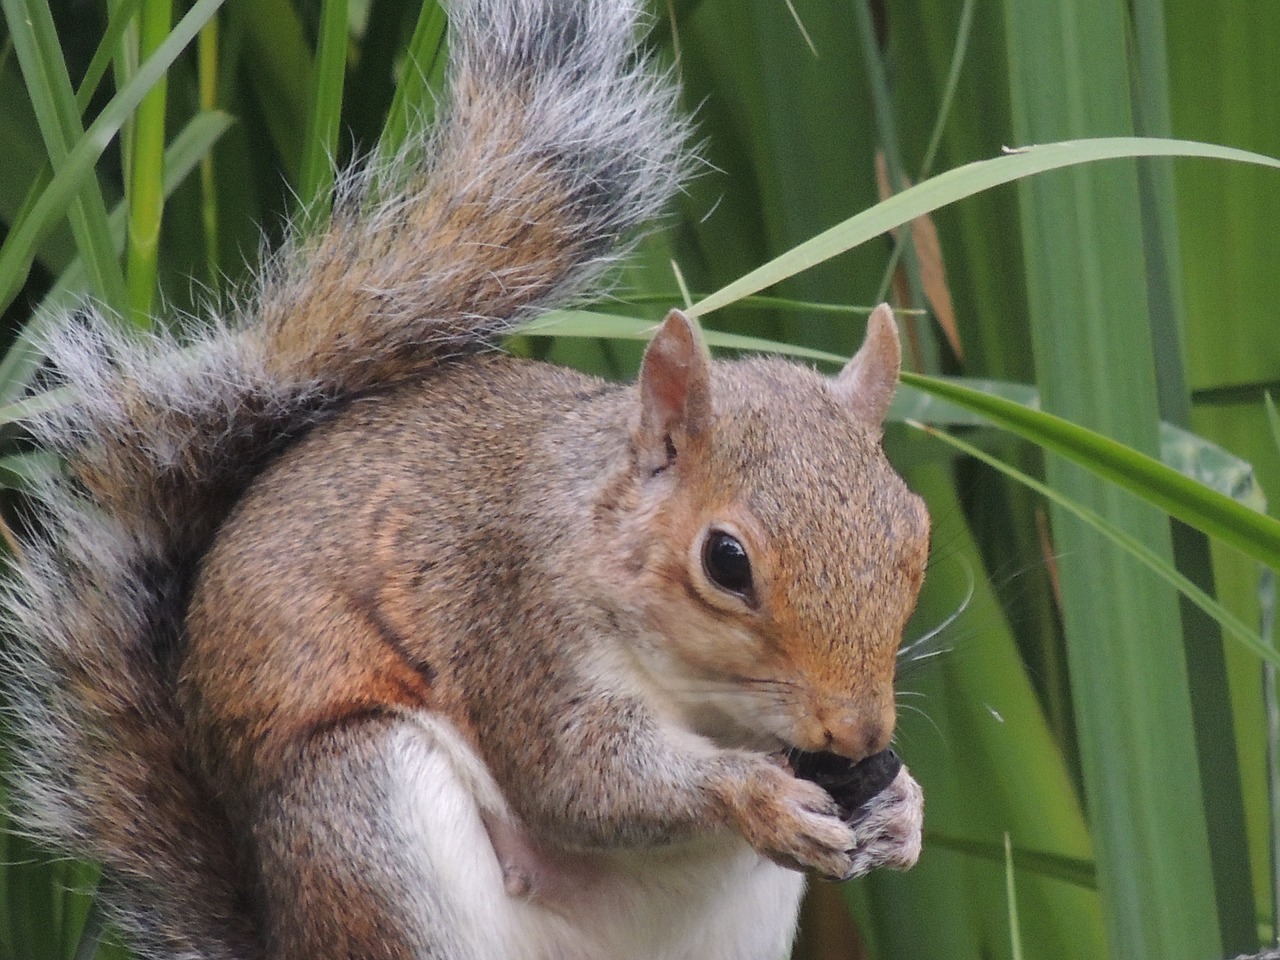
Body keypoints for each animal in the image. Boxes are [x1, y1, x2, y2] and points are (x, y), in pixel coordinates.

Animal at [5, 1, 931, 960]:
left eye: (917, 533)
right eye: (726, 562)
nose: (861, 733)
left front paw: (904, 809)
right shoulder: (518, 624)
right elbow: (581, 778)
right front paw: (756, 793)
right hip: (368, 813)